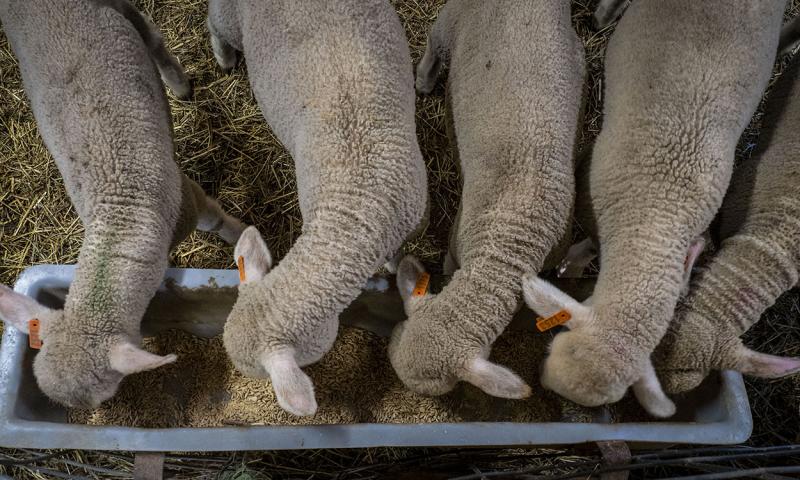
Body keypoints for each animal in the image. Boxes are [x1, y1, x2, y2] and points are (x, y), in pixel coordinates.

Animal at [0, 0, 245, 409]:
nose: (100, 411)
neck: (121, 216)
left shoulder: (188, 197)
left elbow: (219, 223)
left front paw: (246, 237)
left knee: (149, 32)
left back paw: (179, 85)